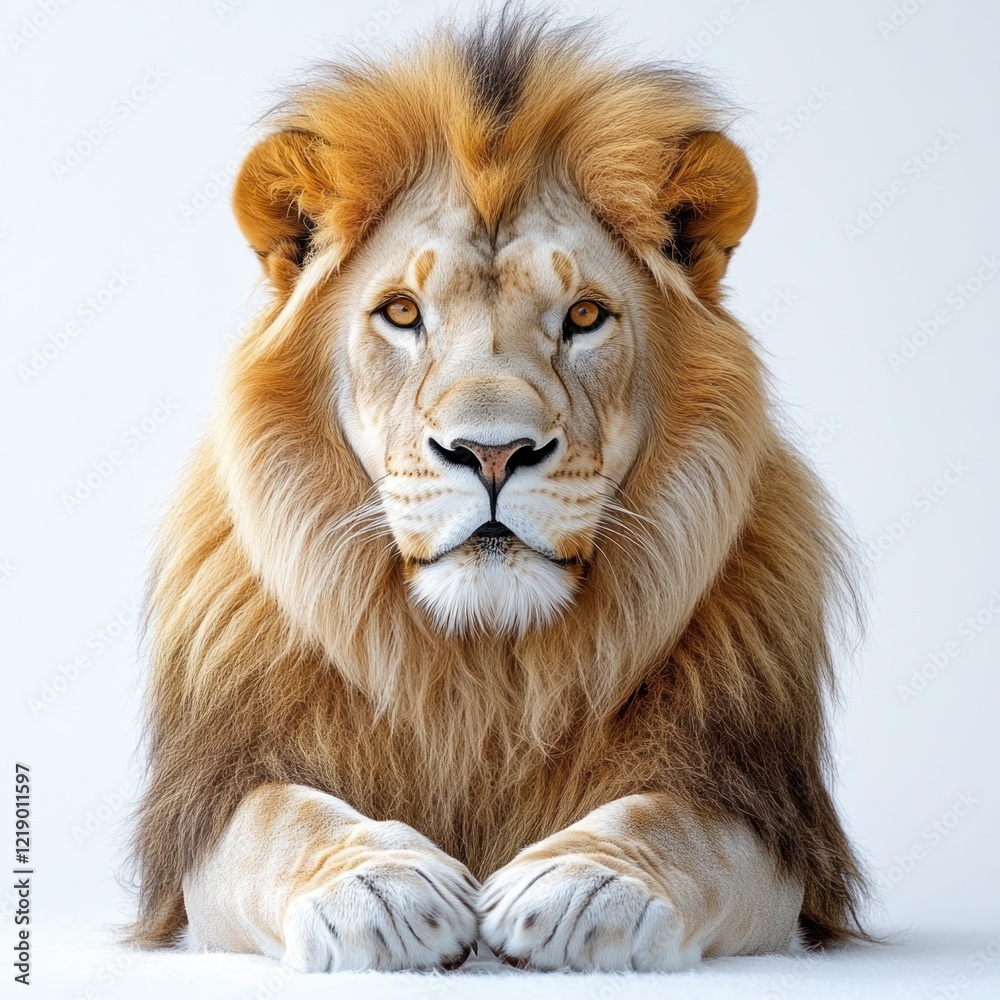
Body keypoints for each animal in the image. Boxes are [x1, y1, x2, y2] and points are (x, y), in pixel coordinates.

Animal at [129, 10, 869, 972]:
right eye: (402, 313)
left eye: (584, 317)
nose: (491, 451)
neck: (485, 669)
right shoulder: (215, 801)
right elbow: (282, 820)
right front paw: (377, 885)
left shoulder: (765, 813)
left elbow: (678, 824)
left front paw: (588, 883)